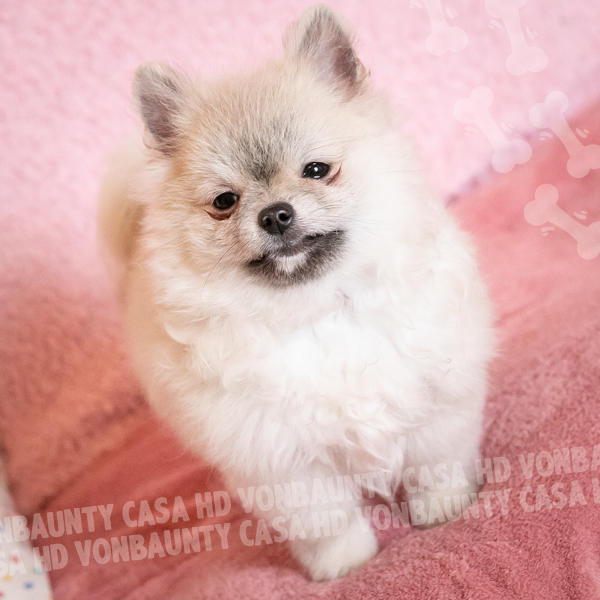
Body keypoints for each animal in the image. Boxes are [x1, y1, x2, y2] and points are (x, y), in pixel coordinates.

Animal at [98, 4, 495, 580]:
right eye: (224, 202)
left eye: (317, 170)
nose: (275, 214)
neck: (317, 308)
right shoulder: (285, 465)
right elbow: (327, 522)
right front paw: (345, 566)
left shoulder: (437, 401)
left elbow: (433, 467)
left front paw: (444, 511)